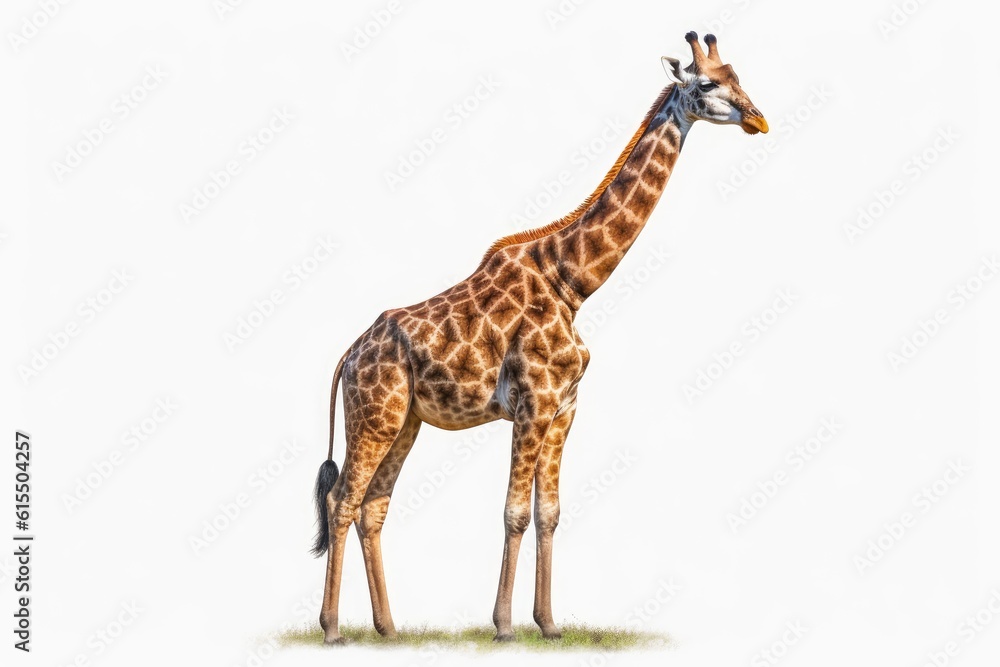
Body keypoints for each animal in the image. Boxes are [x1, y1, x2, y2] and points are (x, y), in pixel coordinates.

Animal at [312, 32, 767, 644]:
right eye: (706, 83)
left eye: (740, 76)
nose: (758, 119)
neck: (573, 281)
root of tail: (349, 353)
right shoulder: (532, 402)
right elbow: (515, 512)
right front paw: (505, 626)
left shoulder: (565, 408)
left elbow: (549, 512)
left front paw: (548, 624)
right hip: (373, 414)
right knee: (342, 499)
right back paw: (333, 628)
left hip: (405, 420)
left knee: (373, 506)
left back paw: (388, 627)